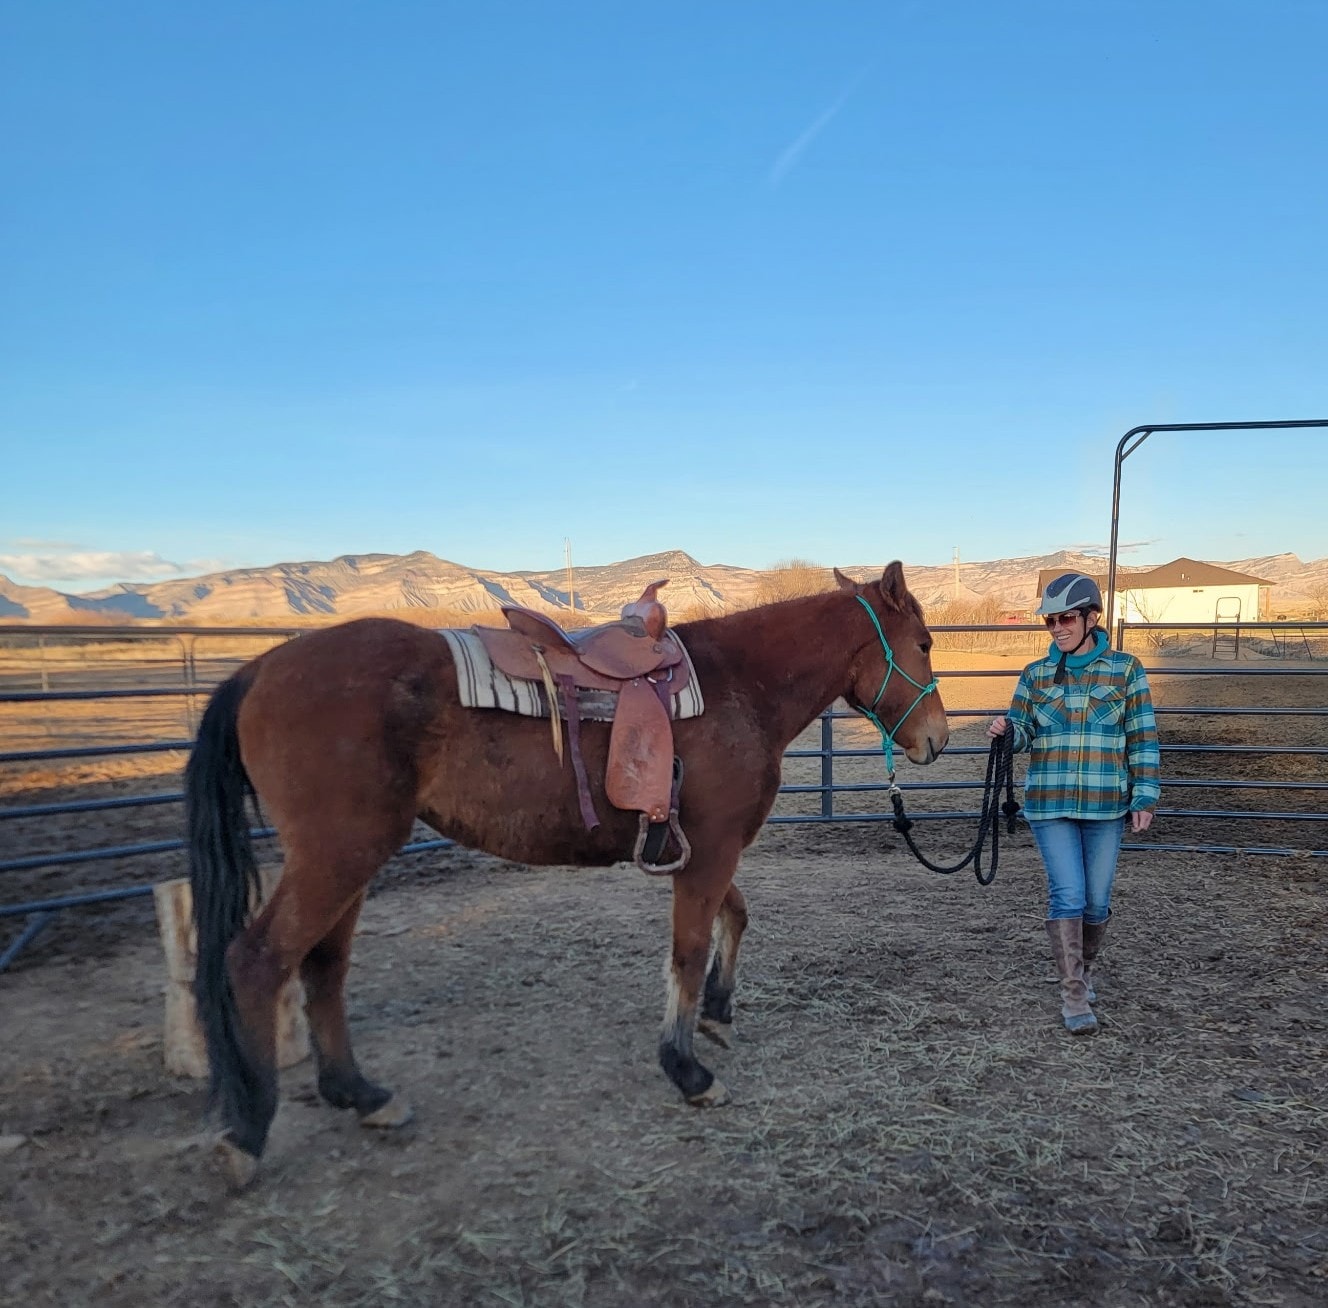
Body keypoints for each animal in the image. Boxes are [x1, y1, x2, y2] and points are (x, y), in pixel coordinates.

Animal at [185, 561, 949, 1188]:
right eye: (924, 644)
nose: (937, 738)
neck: (742, 685)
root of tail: (261, 669)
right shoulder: (710, 849)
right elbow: (688, 949)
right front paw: (687, 1071)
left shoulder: (703, 848)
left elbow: (733, 916)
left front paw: (718, 1011)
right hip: (337, 854)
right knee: (258, 961)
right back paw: (248, 1134)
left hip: (349, 859)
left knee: (324, 965)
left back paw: (362, 1095)